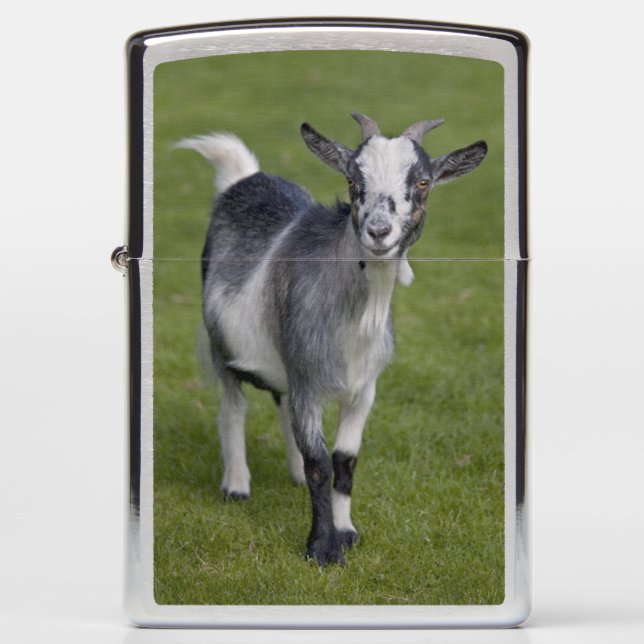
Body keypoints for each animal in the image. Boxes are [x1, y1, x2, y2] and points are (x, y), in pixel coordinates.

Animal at [178, 113, 487, 566]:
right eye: (352, 179)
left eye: (423, 181)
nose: (379, 231)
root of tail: (245, 177)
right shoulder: (308, 380)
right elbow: (320, 464)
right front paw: (322, 549)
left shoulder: (363, 389)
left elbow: (344, 462)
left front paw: (346, 531)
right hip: (225, 349)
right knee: (233, 407)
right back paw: (236, 485)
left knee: (281, 406)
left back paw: (290, 474)